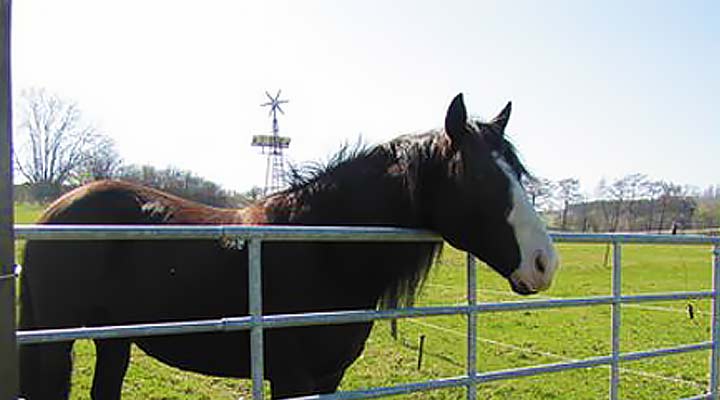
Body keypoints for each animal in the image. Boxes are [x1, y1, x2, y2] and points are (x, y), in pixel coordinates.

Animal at [15, 93, 556, 396]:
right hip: (56, 344)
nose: (544, 263)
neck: (323, 248)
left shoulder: (329, 378)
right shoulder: (293, 378)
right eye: (480, 178)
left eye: (519, 172)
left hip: (115, 340)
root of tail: (54, 213)